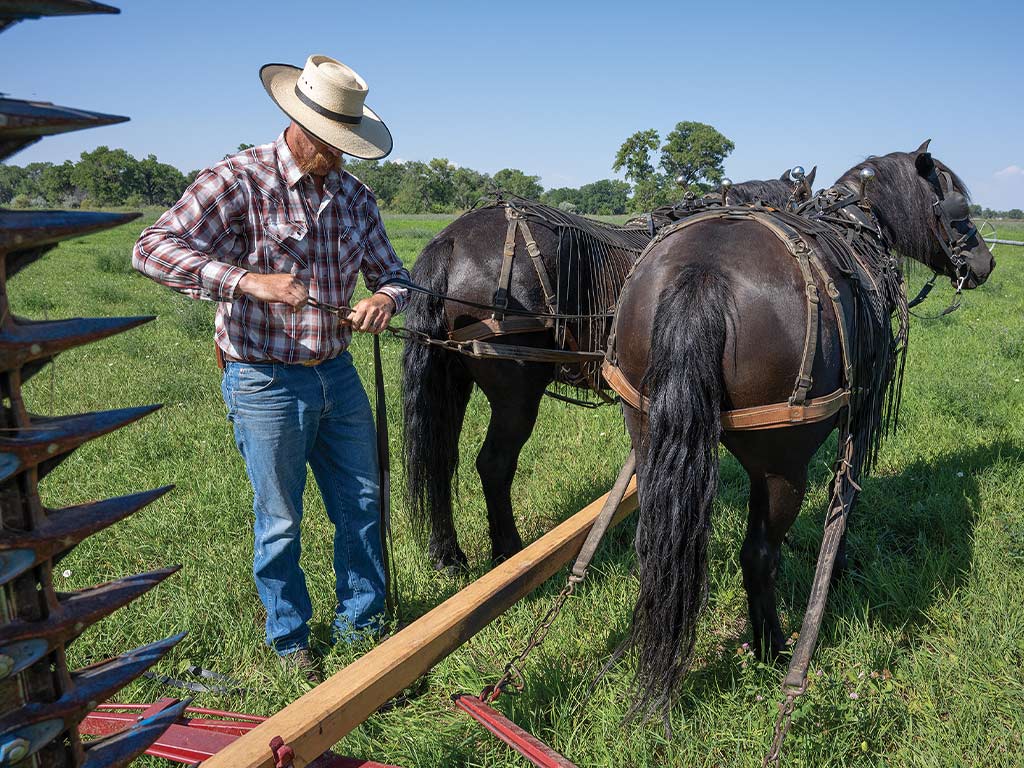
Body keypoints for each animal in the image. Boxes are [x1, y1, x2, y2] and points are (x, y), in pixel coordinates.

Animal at [602, 140, 995, 720]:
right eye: (958, 207)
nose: (986, 261)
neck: (861, 221)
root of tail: (700, 274)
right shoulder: (861, 412)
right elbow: (845, 496)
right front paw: (841, 562)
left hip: (649, 431)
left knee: (657, 544)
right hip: (782, 467)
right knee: (759, 554)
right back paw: (774, 645)